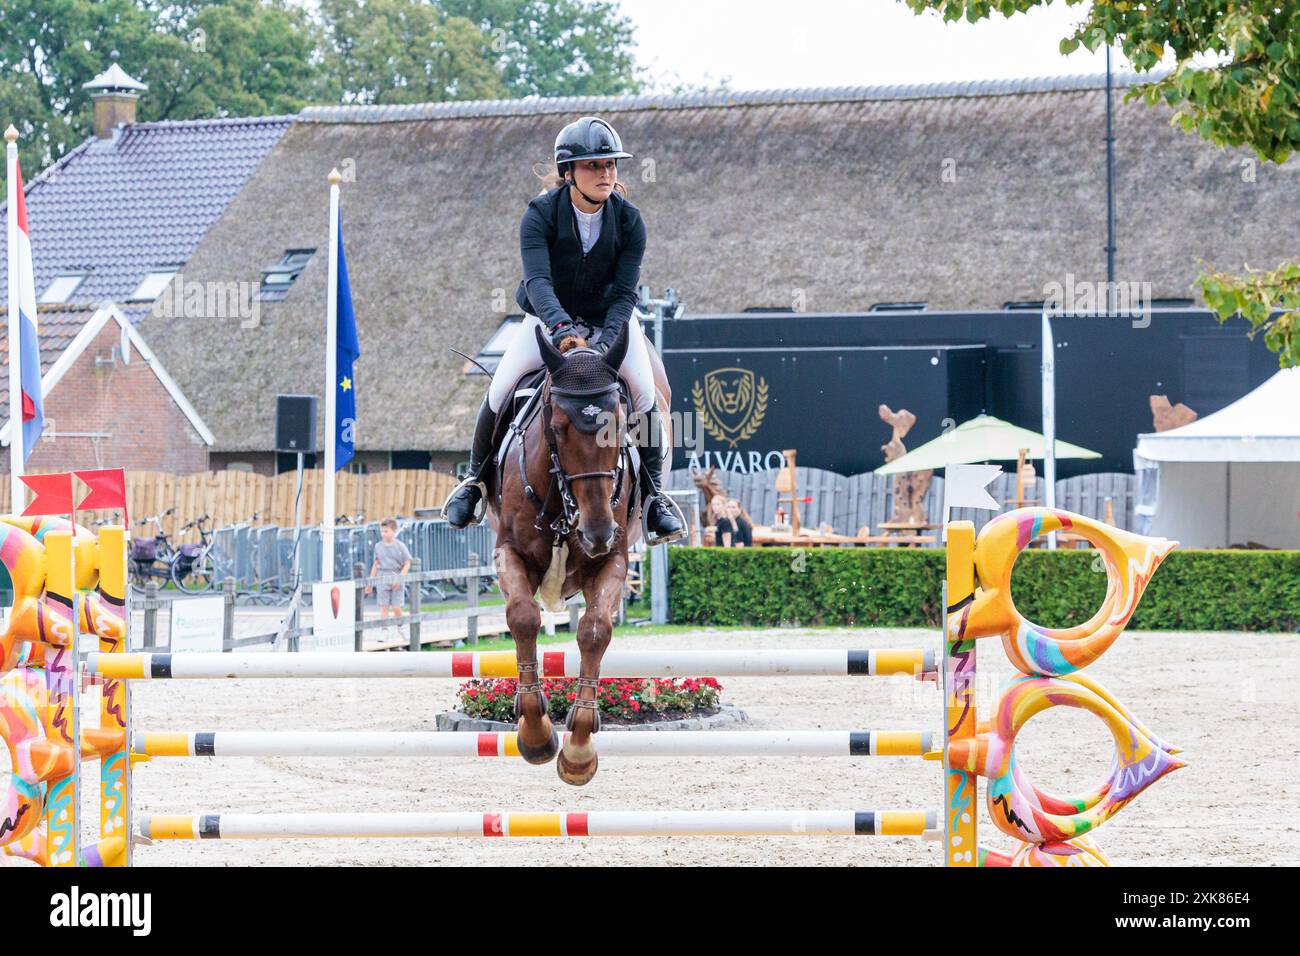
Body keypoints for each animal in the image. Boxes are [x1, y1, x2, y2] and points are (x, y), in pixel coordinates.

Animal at [486, 321, 676, 785]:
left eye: (622, 425)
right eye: (556, 427)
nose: (597, 532)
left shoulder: (613, 561)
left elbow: (594, 631)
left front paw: (578, 750)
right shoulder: (509, 552)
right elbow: (523, 617)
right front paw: (536, 734)